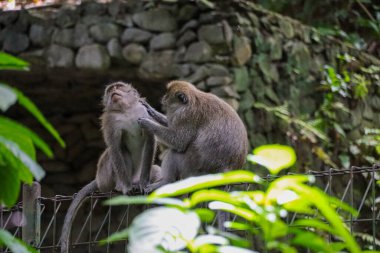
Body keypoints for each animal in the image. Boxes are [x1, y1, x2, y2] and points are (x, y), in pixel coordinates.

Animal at [60, 82, 159, 252]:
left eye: (118, 86)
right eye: (110, 89)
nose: (113, 91)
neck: (126, 111)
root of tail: (98, 179)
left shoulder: (143, 112)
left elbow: (150, 139)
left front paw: (144, 184)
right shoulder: (110, 121)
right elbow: (115, 147)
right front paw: (126, 187)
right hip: (105, 176)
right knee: (120, 153)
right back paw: (122, 186)